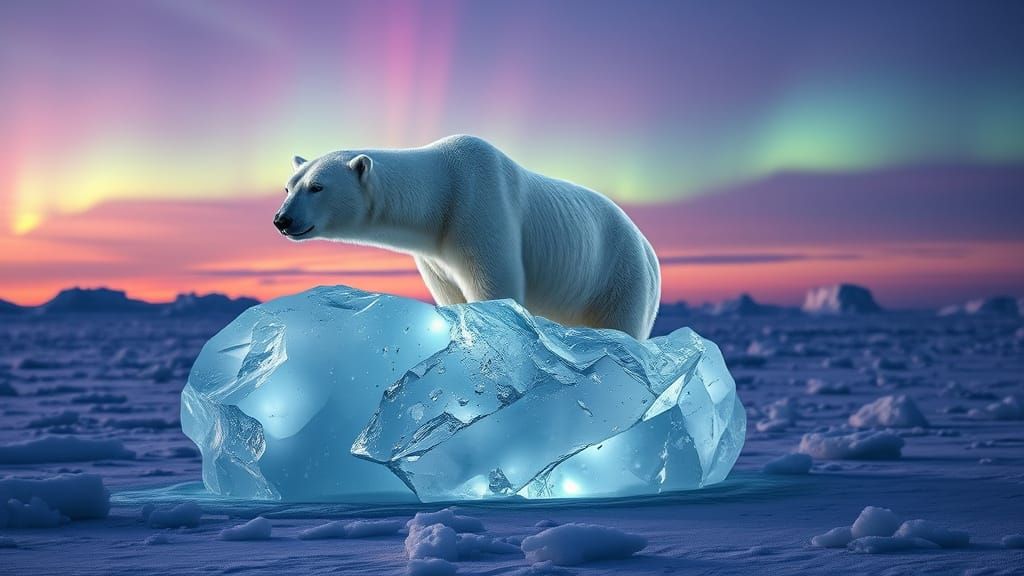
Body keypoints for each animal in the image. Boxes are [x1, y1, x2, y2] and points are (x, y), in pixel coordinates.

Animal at [274, 135, 661, 339]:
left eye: (317, 187)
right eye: (289, 186)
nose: (282, 219)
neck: (442, 191)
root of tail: (648, 248)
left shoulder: (480, 209)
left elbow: (496, 287)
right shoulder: (434, 255)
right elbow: (451, 295)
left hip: (616, 275)